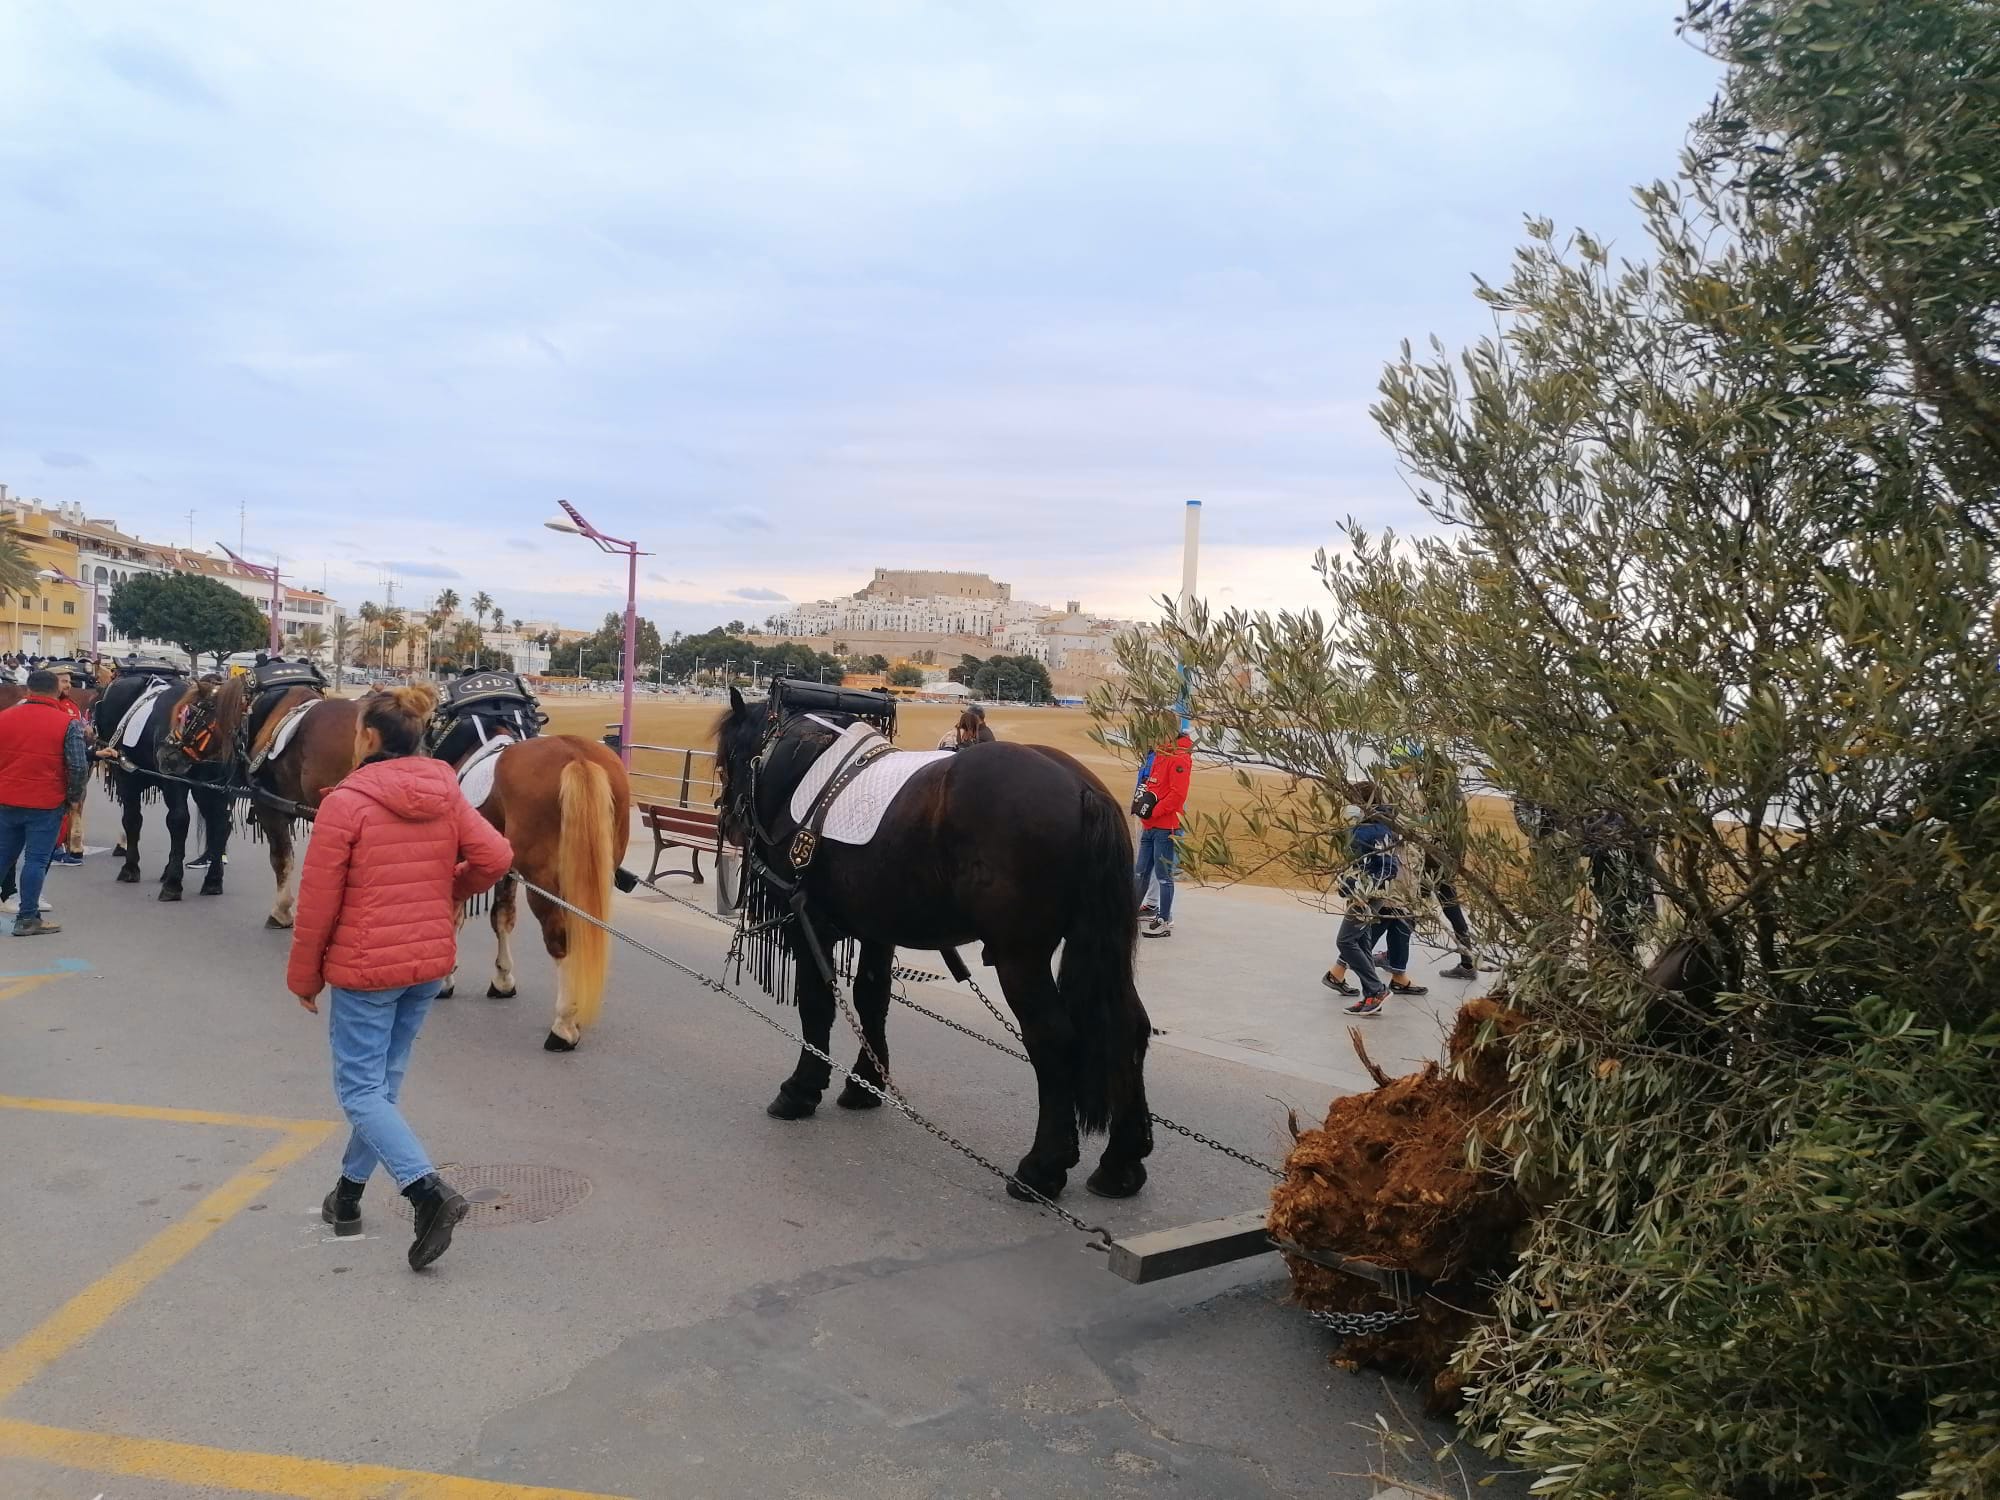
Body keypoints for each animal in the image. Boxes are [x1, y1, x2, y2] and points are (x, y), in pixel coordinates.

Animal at [91, 672, 234, 904]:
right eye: (191, 714)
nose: (167, 753)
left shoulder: (130, 779)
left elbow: (136, 820)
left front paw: (134, 868)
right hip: (208, 789)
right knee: (221, 823)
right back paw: (212, 879)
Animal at [720, 692, 1160, 1208]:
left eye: (728, 759)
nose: (729, 822)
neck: (804, 768)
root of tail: (1080, 787)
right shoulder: (877, 930)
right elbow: (872, 1000)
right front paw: (865, 1083)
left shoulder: (811, 921)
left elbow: (816, 1004)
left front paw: (801, 1088)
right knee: (1129, 1028)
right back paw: (1120, 1162)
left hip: (1020, 958)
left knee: (1053, 1039)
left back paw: (1042, 1167)